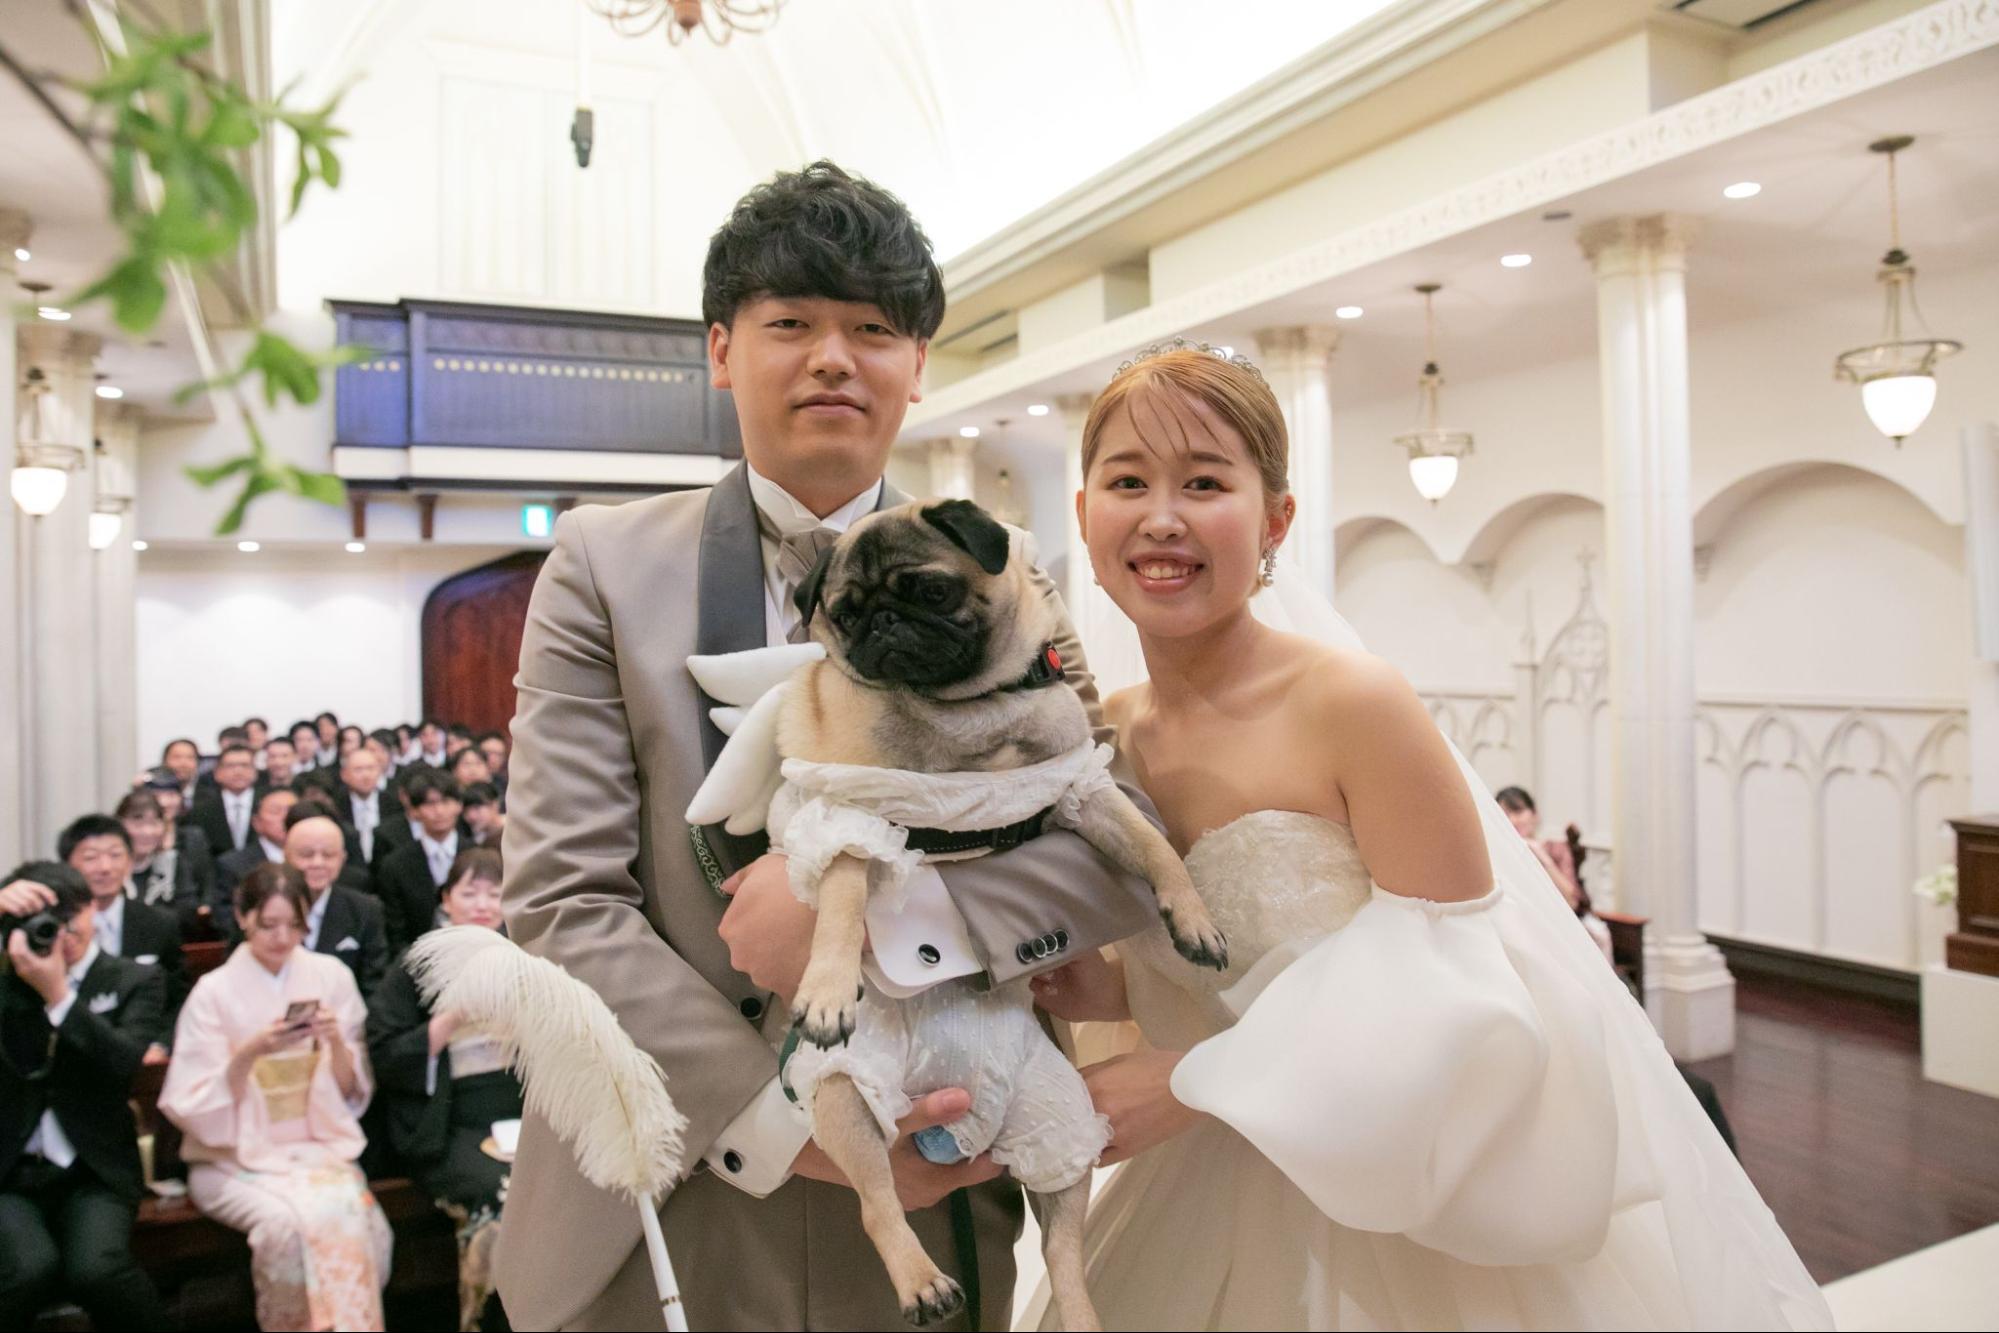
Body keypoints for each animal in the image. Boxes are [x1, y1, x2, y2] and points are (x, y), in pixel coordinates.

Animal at [768, 498, 1227, 1328]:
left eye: (930, 590)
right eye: (844, 613)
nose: (880, 622)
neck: (973, 713)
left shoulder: (1083, 790)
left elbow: (1154, 847)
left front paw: (1192, 918)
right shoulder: (852, 810)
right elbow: (843, 901)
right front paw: (825, 987)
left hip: (1060, 1125)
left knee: (1063, 1253)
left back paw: (1078, 1313)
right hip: (848, 1093)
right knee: (877, 1204)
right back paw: (923, 1282)